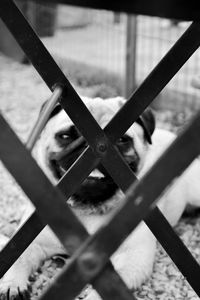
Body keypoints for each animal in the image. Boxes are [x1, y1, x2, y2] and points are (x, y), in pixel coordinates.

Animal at [0, 96, 200, 300]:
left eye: (122, 140)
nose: (86, 148)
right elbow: (17, 259)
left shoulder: (131, 258)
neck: (87, 209)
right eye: (65, 136)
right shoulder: (30, 243)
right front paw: (12, 284)